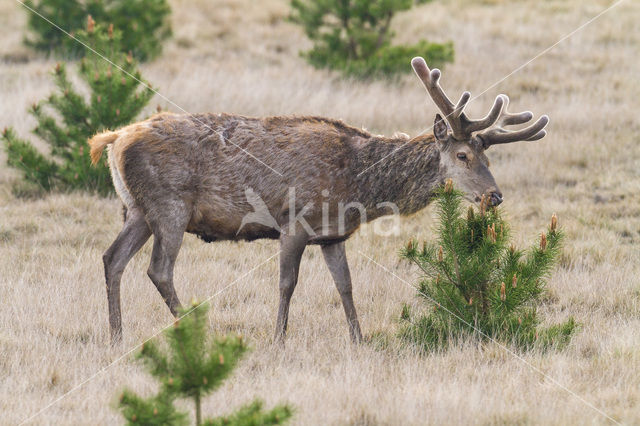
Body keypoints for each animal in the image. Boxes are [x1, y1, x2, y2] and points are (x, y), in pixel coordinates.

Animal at [89, 56, 552, 344]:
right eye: (462, 155)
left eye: (488, 156)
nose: (494, 196)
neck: (357, 185)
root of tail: (114, 138)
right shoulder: (294, 222)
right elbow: (287, 283)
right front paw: (278, 340)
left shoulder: (332, 235)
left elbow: (345, 286)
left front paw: (359, 339)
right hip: (170, 205)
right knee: (158, 269)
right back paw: (195, 327)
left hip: (137, 210)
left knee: (113, 258)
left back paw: (116, 336)